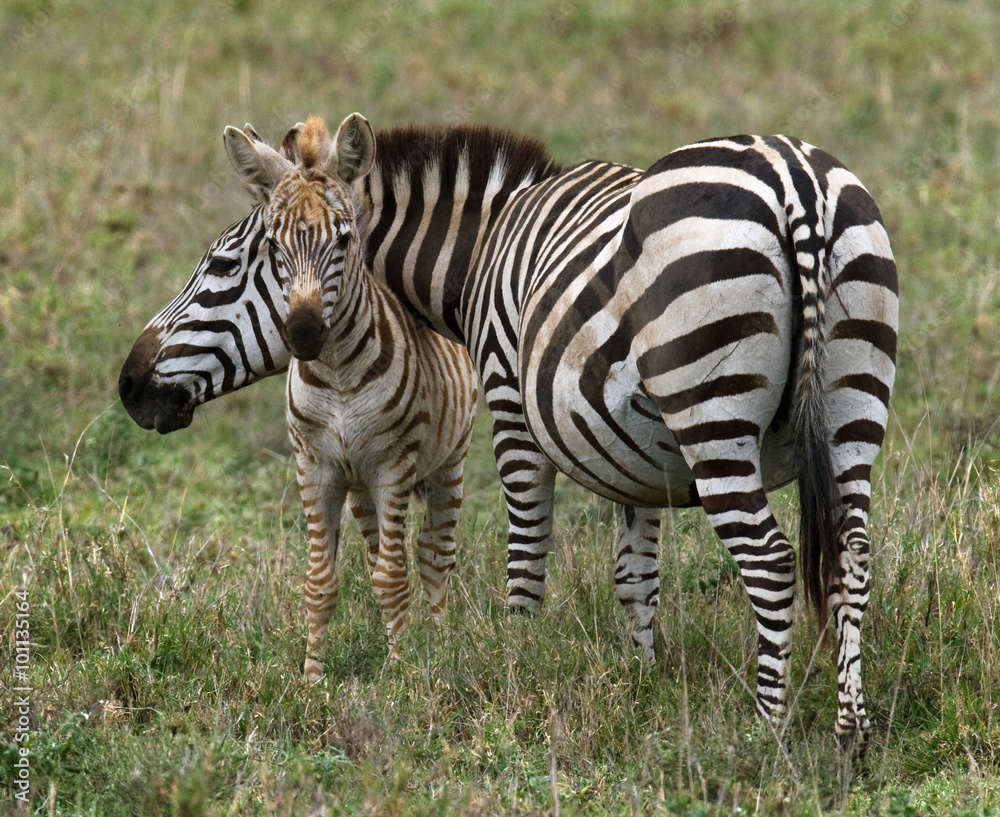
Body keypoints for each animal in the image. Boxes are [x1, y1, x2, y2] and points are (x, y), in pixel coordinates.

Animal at [120, 120, 896, 747]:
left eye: (222, 266)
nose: (129, 386)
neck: (479, 251)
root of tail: (794, 180)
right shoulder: (638, 451)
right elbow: (635, 573)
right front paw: (643, 676)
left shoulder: (509, 403)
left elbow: (525, 562)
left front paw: (518, 666)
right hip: (852, 403)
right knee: (851, 554)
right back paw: (851, 729)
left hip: (712, 416)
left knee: (771, 562)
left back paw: (766, 728)